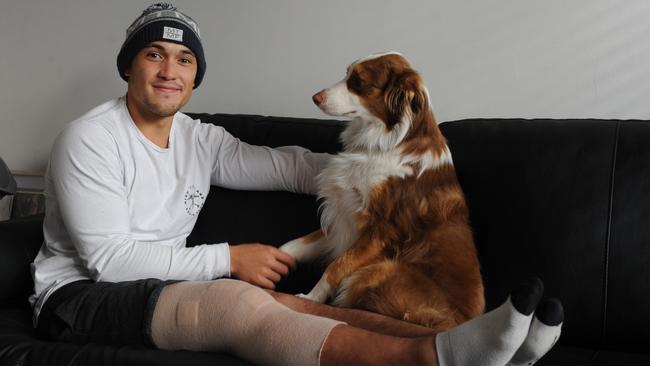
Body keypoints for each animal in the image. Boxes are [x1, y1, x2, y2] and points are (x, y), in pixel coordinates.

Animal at [278, 52, 480, 332]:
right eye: (347, 73)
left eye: (359, 81)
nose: (315, 97)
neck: (389, 142)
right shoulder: (344, 219)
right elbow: (291, 246)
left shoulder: (380, 231)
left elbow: (337, 265)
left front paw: (310, 297)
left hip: (375, 272)